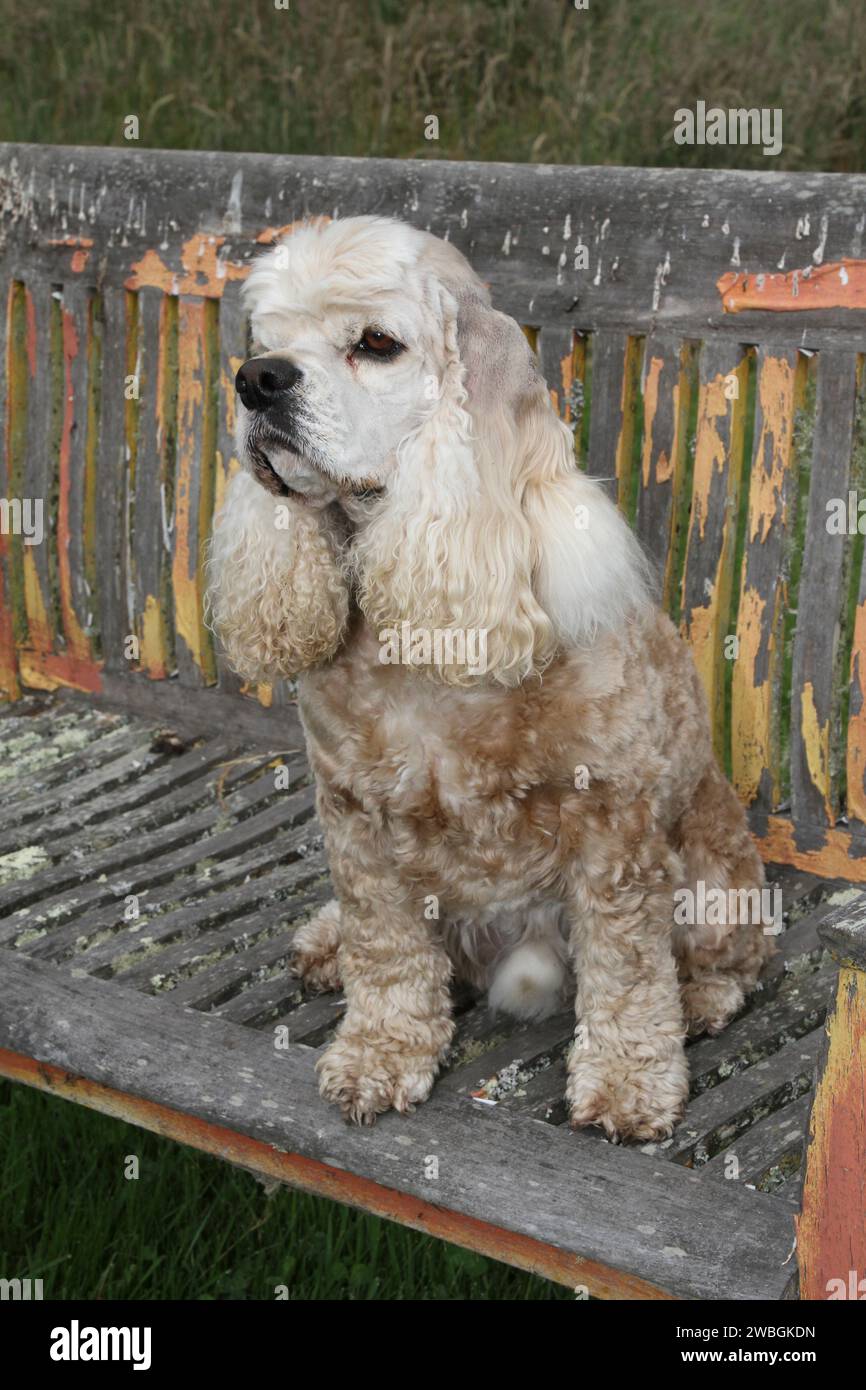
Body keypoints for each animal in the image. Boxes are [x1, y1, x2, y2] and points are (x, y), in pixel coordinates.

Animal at [208, 211, 772, 1134]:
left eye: (376, 342)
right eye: (266, 340)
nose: (256, 381)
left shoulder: (613, 825)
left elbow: (625, 970)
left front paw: (627, 1085)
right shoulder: (355, 815)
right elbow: (388, 949)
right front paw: (379, 1056)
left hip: (718, 878)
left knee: (732, 960)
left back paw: (699, 1003)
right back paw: (326, 945)